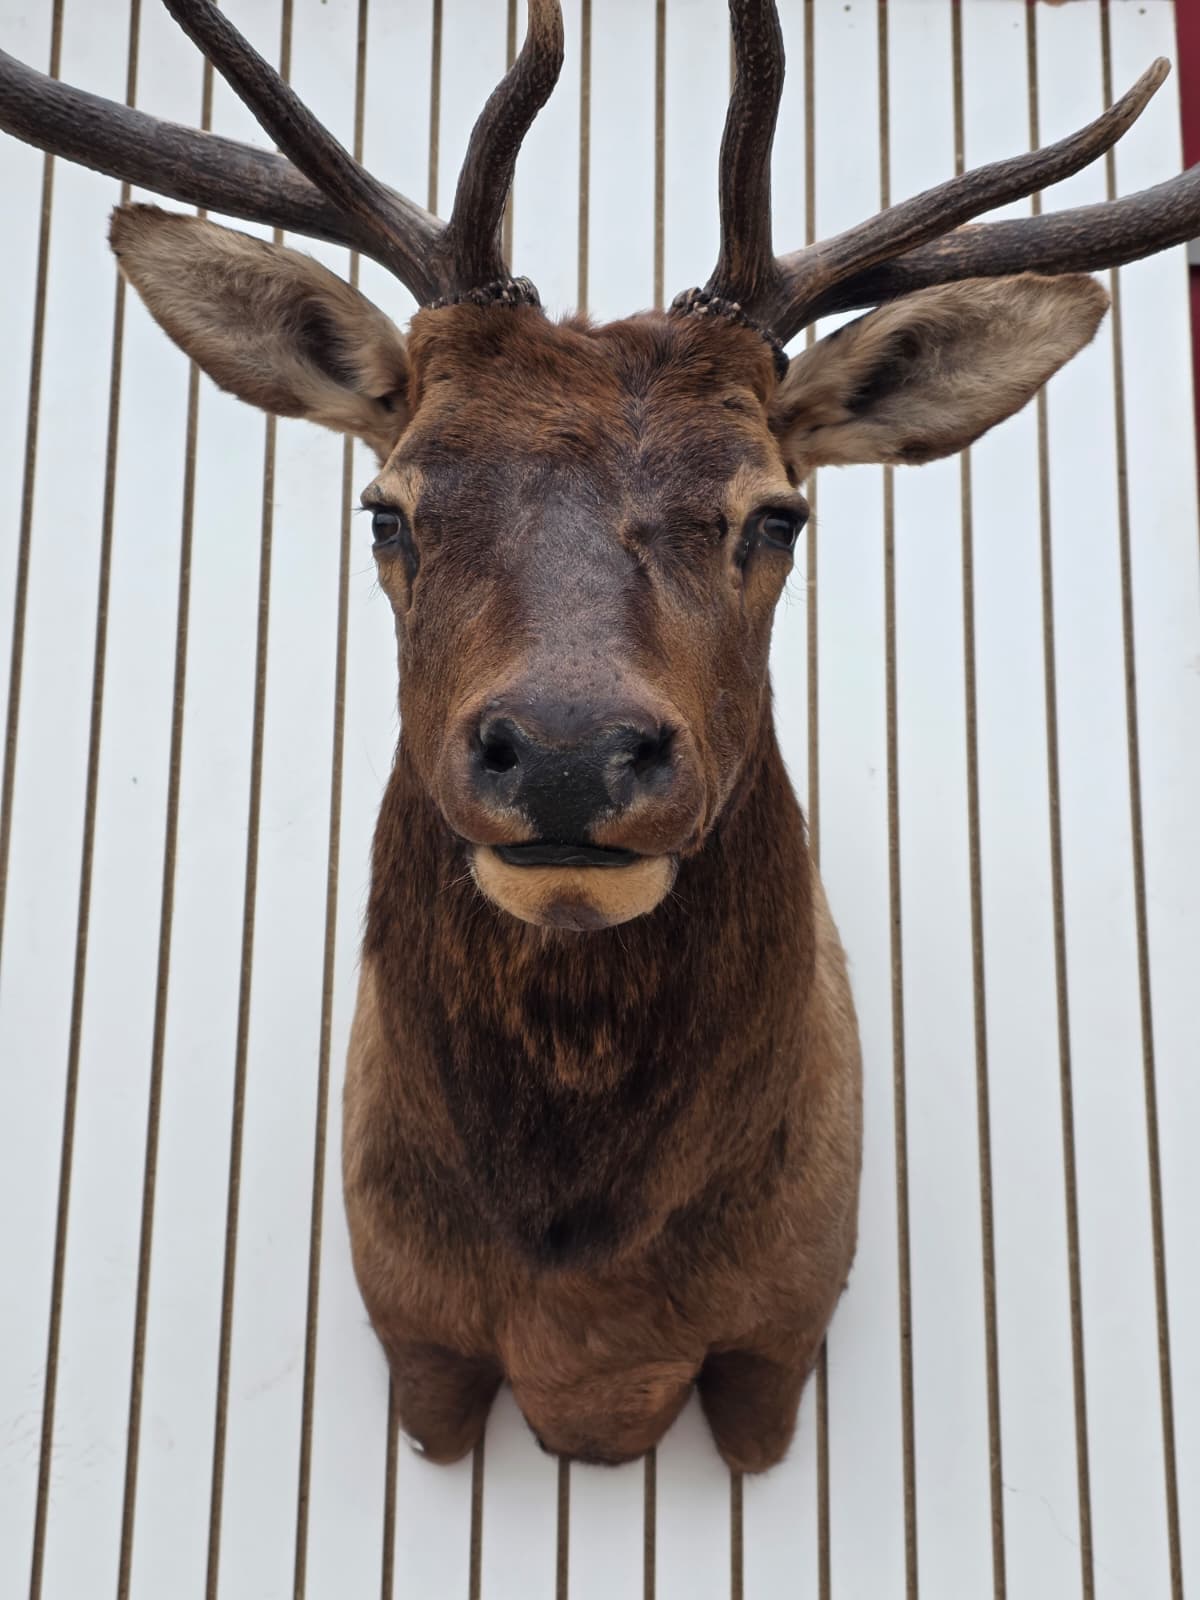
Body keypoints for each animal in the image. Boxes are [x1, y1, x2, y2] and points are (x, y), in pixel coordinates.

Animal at [3, 0, 1197, 1473]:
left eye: (778, 513)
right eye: (388, 505)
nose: (571, 750)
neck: (586, 1310)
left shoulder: (780, 1342)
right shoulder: (416, 1341)